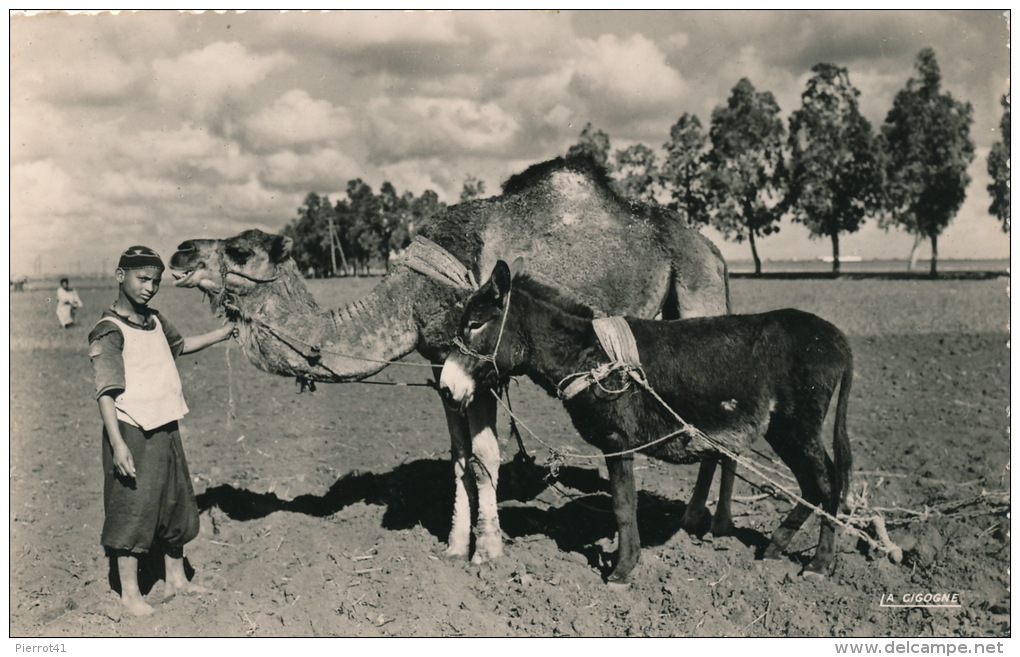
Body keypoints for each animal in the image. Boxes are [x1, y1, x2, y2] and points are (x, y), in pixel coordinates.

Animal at [173, 155, 734, 563]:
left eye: (240, 251)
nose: (180, 251)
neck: (408, 299)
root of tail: (713, 250)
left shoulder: (481, 365)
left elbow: (485, 457)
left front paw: (487, 553)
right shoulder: (440, 364)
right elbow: (459, 457)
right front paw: (452, 545)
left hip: (698, 287)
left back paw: (709, 526)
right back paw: (702, 521)